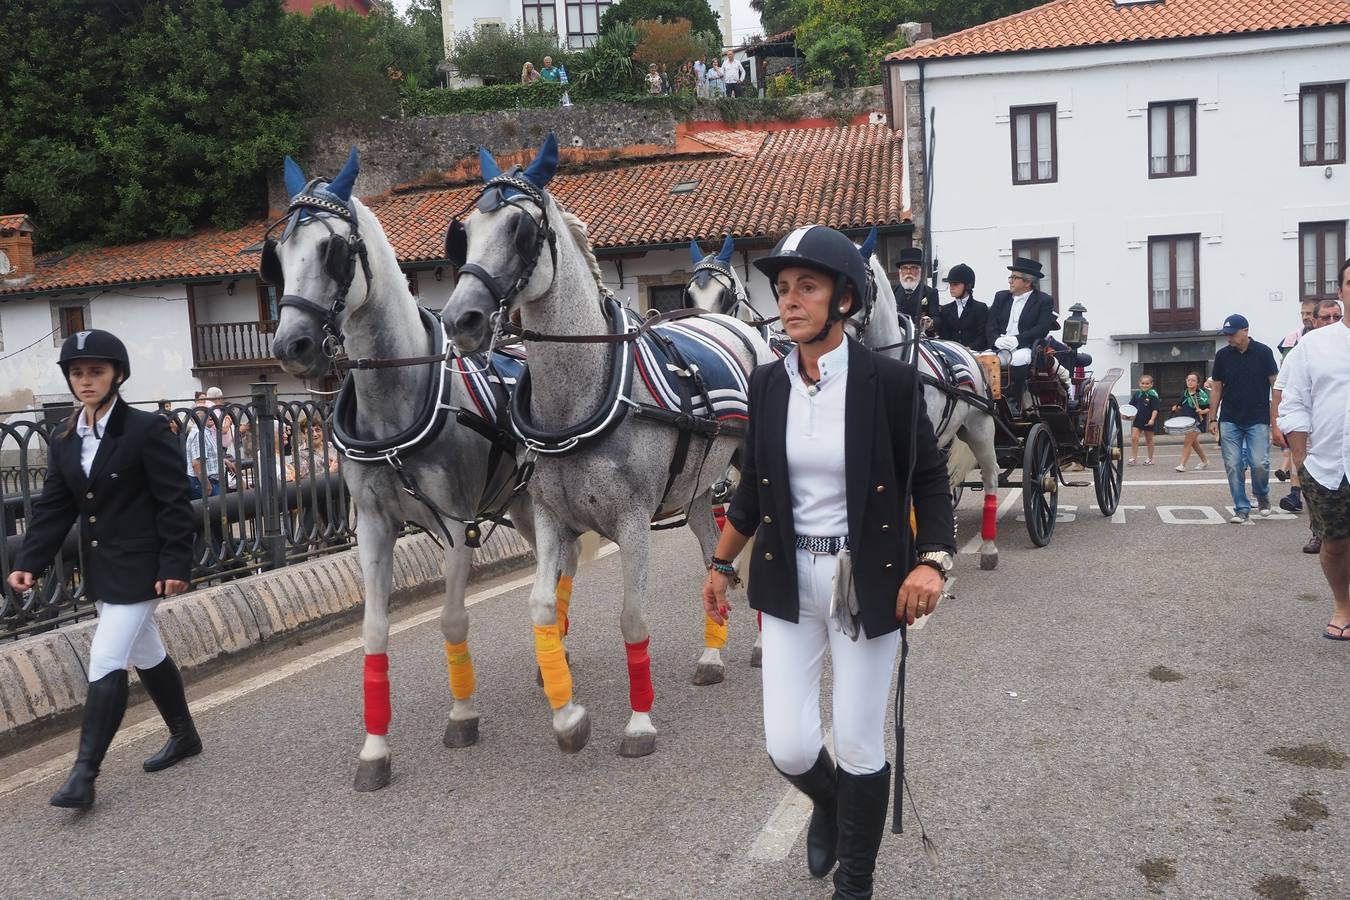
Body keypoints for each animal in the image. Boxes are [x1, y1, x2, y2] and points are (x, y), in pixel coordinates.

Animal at [440, 137, 777, 755]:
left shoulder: (633, 522)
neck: (581, 397)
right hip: (696, 490)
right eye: (466, 231)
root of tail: (738, 328)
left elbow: (632, 619)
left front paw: (639, 721)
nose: (461, 319)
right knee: (710, 551)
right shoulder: (551, 519)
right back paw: (712, 654)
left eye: (521, 231)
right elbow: (543, 608)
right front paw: (567, 715)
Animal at [685, 232, 1004, 569]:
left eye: (724, 295)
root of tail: (965, 350)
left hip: (980, 428)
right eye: (689, 295)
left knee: (990, 475)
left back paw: (988, 548)